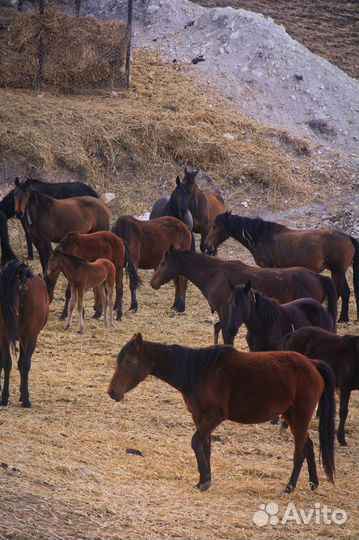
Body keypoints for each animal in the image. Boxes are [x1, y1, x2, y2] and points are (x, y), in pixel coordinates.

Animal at [0, 260, 49, 408]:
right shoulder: (23, 337)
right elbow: (21, 362)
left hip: (10, 335)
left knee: (9, 362)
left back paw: (5, 398)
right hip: (30, 335)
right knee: (24, 363)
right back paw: (25, 399)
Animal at [108, 334, 336, 494]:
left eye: (129, 361)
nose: (112, 392)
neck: (199, 370)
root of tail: (313, 364)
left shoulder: (213, 416)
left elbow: (196, 442)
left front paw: (205, 480)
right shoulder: (199, 417)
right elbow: (205, 446)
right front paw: (203, 479)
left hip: (300, 417)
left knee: (300, 452)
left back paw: (290, 486)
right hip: (292, 416)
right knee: (308, 446)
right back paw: (313, 483)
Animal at [150, 247, 338, 344]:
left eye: (162, 262)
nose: (153, 282)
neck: (216, 273)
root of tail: (318, 277)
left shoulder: (228, 313)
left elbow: (226, 335)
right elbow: (219, 330)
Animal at [204, 210, 358, 320]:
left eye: (215, 226)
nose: (207, 246)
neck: (262, 236)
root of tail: (348, 237)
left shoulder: (268, 267)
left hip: (338, 272)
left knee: (345, 292)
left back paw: (343, 319)